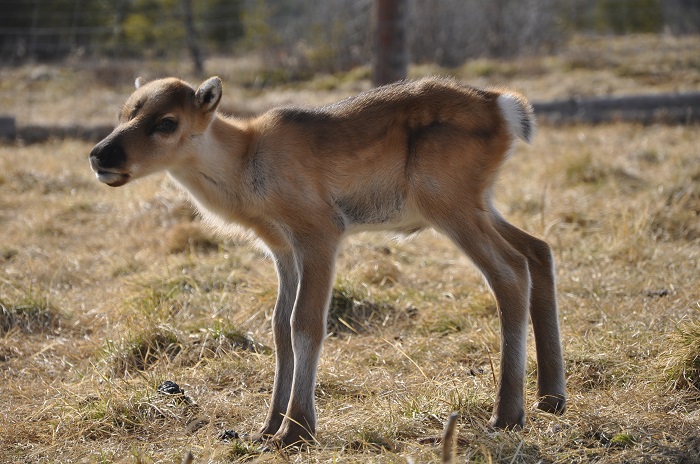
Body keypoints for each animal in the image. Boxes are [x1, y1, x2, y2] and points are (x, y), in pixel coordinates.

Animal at [90, 76, 568, 446]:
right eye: (124, 113)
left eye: (167, 122)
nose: (100, 156)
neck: (244, 166)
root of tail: (505, 107)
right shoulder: (282, 248)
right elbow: (279, 328)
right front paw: (268, 425)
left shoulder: (319, 233)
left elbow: (305, 323)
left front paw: (297, 428)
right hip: (480, 203)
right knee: (538, 250)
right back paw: (550, 398)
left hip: (448, 203)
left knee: (509, 272)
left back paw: (507, 414)